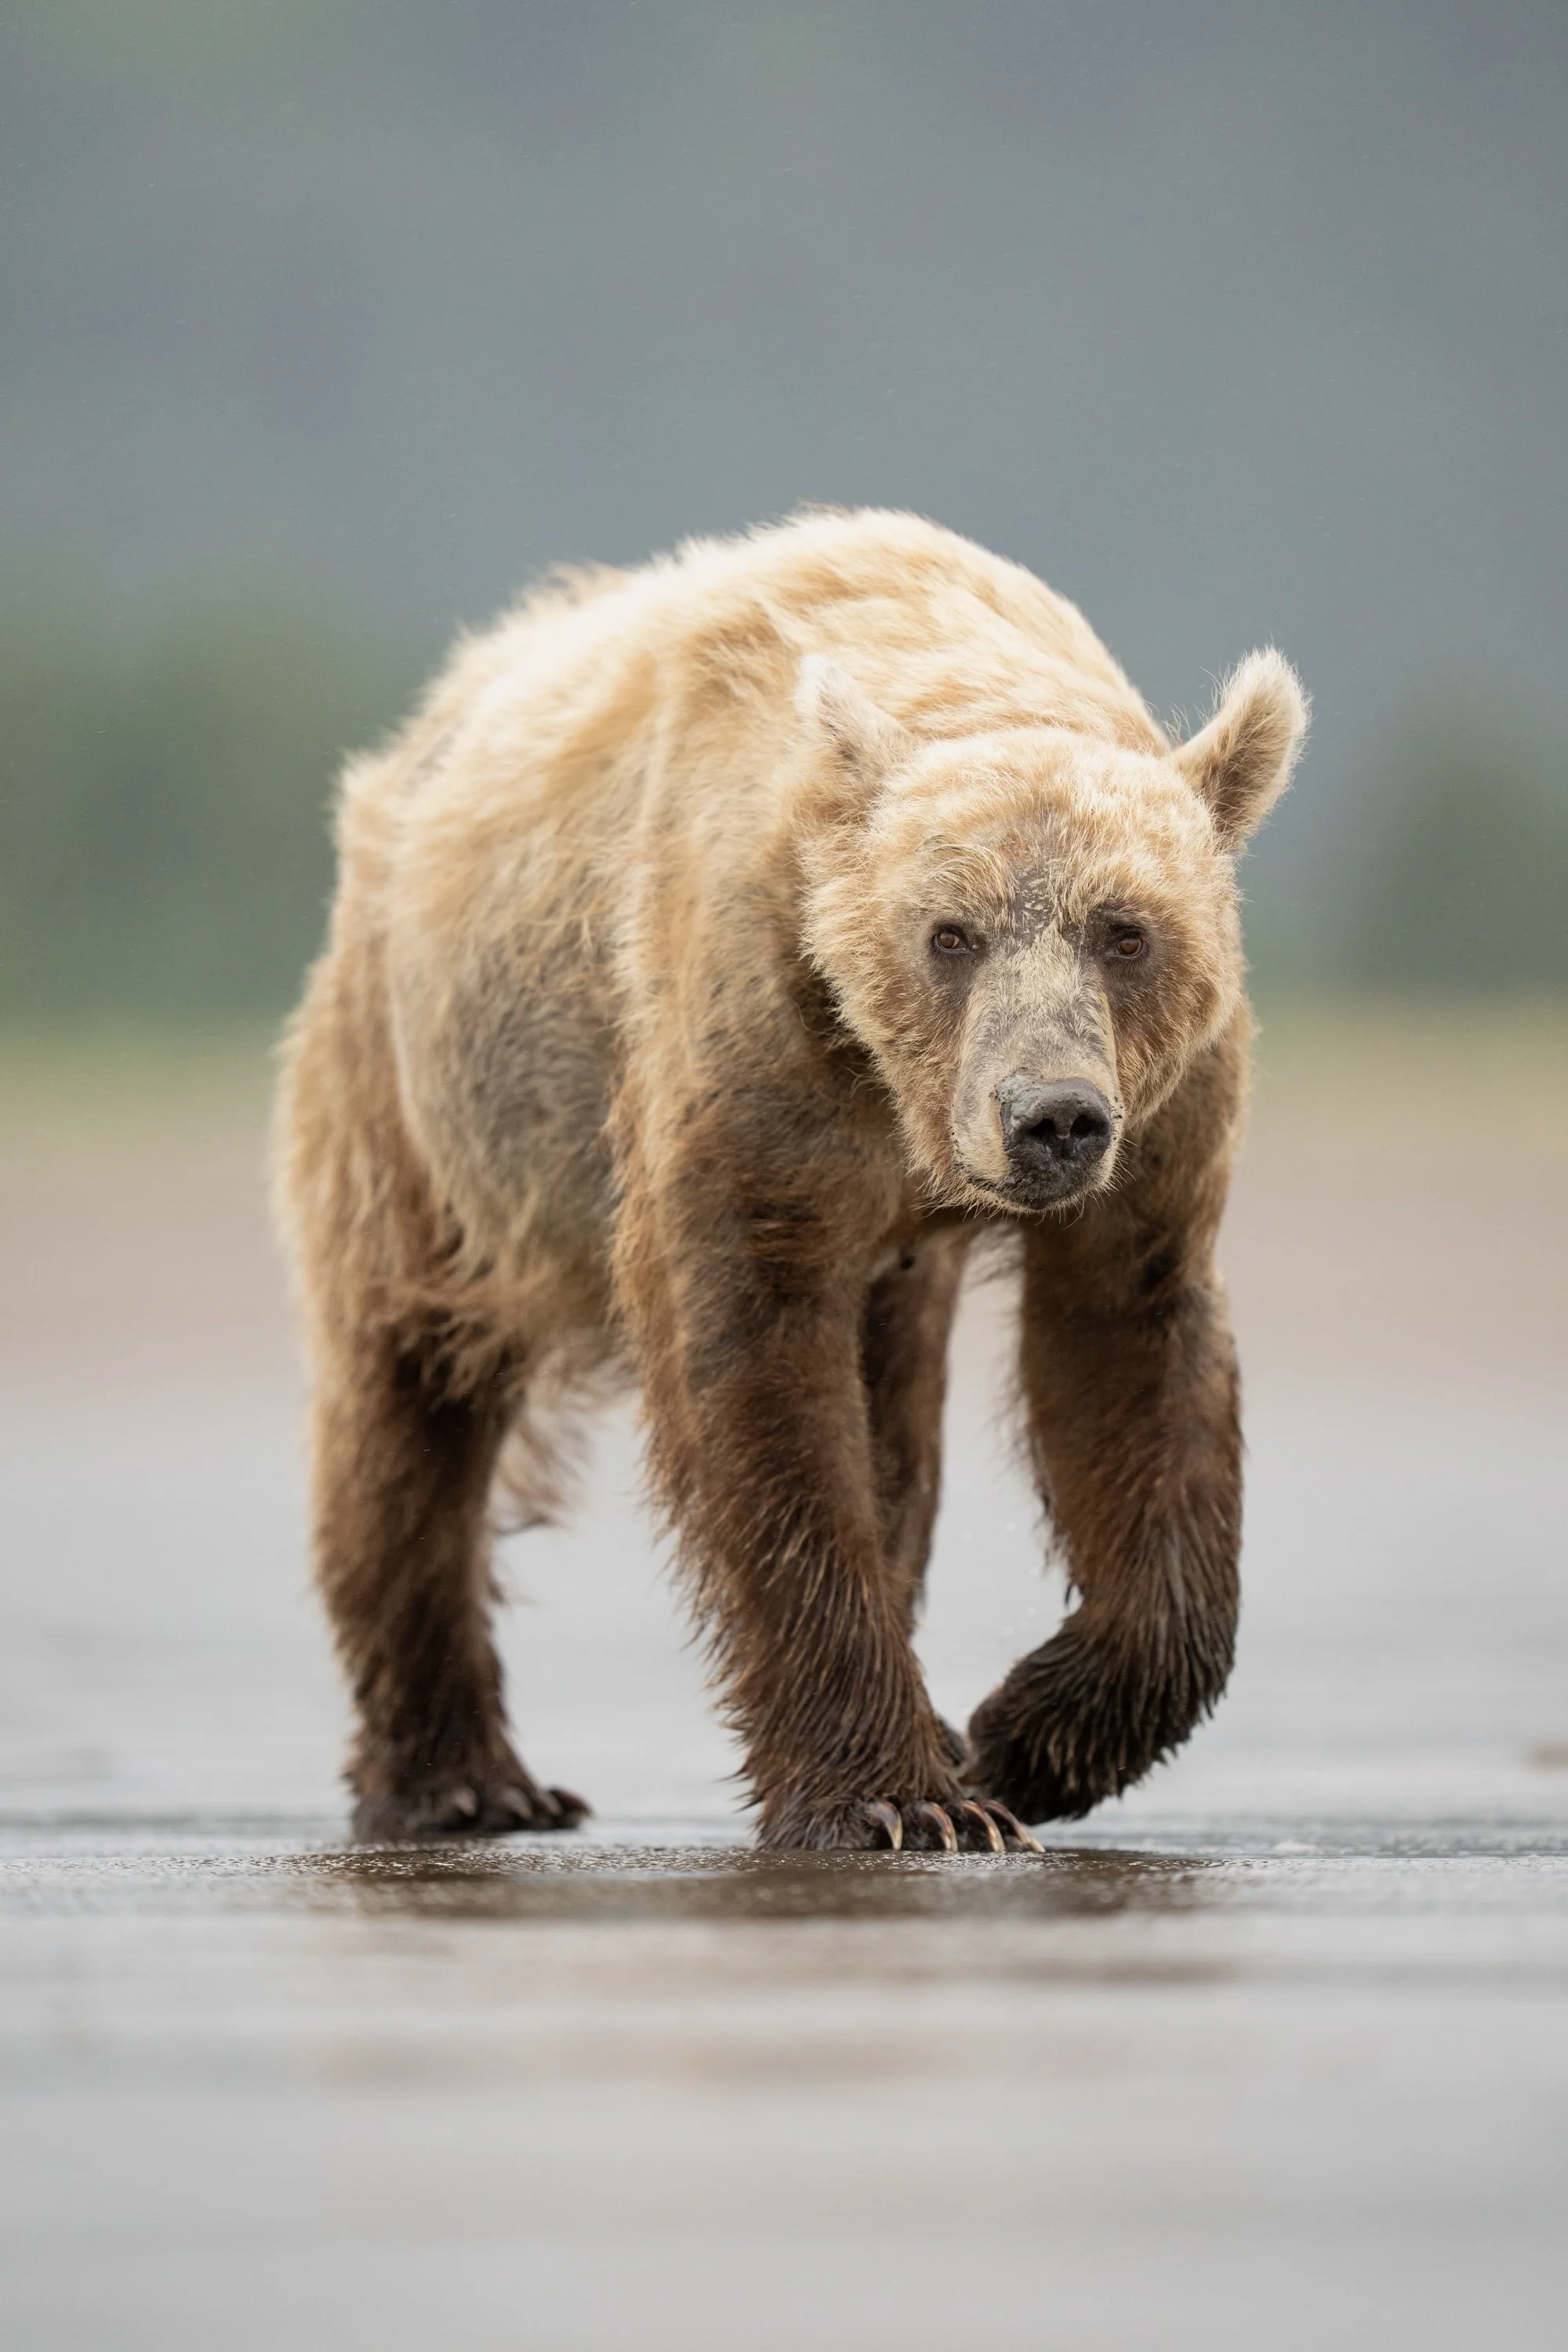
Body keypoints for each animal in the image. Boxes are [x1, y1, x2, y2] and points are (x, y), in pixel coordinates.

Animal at [273, 508, 1307, 1852]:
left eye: (1124, 930)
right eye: (951, 933)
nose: (1051, 1120)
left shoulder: (1161, 1125)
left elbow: (1130, 1354)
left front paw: (1018, 1740)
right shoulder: (756, 1052)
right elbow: (762, 1386)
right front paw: (900, 1795)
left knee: (899, 1417)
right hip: (420, 1094)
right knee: (408, 1389)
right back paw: (462, 1779)